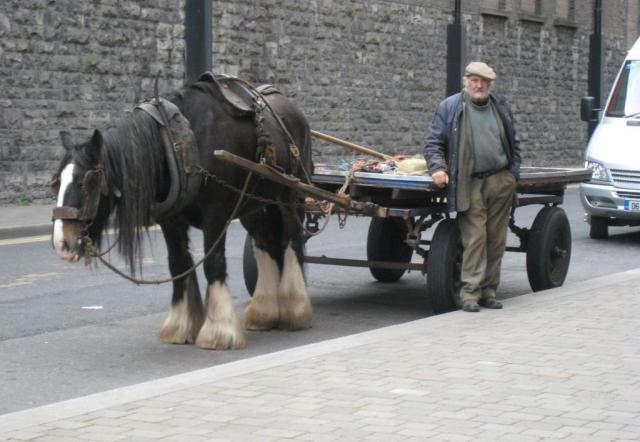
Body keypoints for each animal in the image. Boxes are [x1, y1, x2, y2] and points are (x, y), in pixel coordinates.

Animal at [52, 77, 316, 352]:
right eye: (56, 182)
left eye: (85, 183)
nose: (62, 243)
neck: (179, 145)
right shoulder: (170, 221)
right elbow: (178, 263)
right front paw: (180, 326)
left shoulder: (216, 216)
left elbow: (213, 264)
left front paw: (219, 331)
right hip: (253, 203)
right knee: (265, 244)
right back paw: (264, 312)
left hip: (291, 195)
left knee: (291, 240)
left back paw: (295, 309)